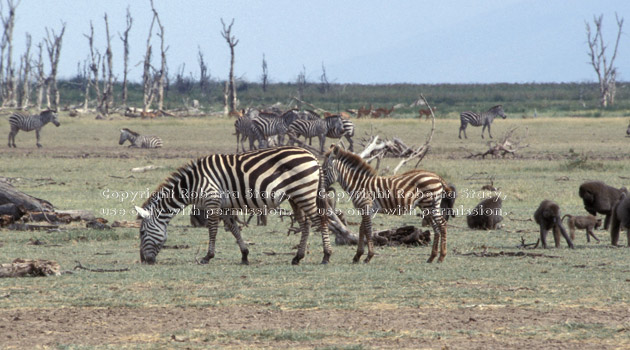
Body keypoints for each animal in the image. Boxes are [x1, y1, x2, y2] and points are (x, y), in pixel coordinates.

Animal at [135, 146, 334, 266]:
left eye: (142, 233)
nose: (144, 260)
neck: (192, 183)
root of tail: (312, 156)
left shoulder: (212, 200)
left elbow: (213, 230)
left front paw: (207, 257)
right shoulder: (224, 205)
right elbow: (234, 228)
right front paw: (245, 255)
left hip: (304, 192)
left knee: (320, 220)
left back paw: (326, 256)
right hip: (295, 195)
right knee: (305, 223)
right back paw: (297, 257)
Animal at [324, 144, 452, 262]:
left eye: (324, 171)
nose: (322, 189)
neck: (359, 185)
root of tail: (436, 176)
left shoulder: (366, 207)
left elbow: (368, 230)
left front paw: (368, 256)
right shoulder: (366, 209)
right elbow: (362, 229)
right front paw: (358, 256)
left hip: (429, 204)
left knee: (442, 224)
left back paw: (442, 256)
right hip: (428, 206)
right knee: (436, 227)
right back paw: (432, 257)